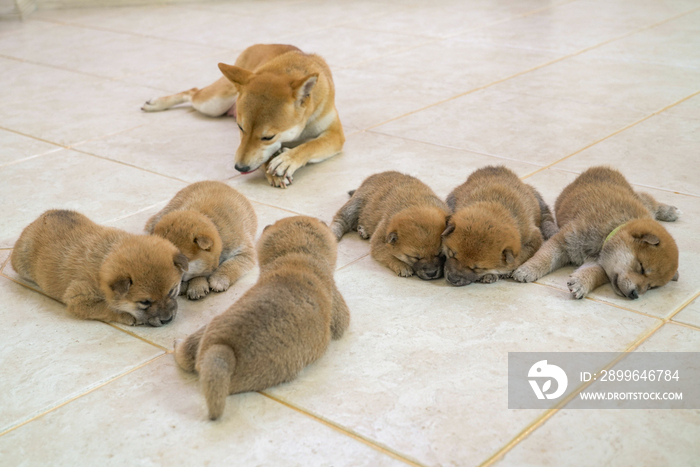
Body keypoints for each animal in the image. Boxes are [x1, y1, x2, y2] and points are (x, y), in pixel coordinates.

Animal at [11, 210, 186, 328]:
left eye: (172, 291)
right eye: (144, 302)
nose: (167, 319)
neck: (104, 259)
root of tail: (40, 218)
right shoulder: (78, 298)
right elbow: (107, 308)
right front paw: (128, 317)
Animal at [141, 43, 344, 188]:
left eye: (268, 136)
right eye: (240, 128)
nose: (240, 168)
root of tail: (260, 44)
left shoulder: (335, 134)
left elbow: (311, 145)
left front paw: (287, 160)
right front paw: (271, 168)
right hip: (213, 103)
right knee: (192, 92)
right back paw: (156, 103)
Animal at [512, 167, 680, 300]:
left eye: (651, 286)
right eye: (641, 268)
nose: (635, 295)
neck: (610, 232)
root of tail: (603, 168)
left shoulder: (602, 264)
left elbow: (594, 273)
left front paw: (581, 283)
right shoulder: (564, 241)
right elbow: (545, 257)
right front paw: (527, 270)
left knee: (648, 199)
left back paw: (670, 211)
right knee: (647, 197)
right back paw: (671, 211)